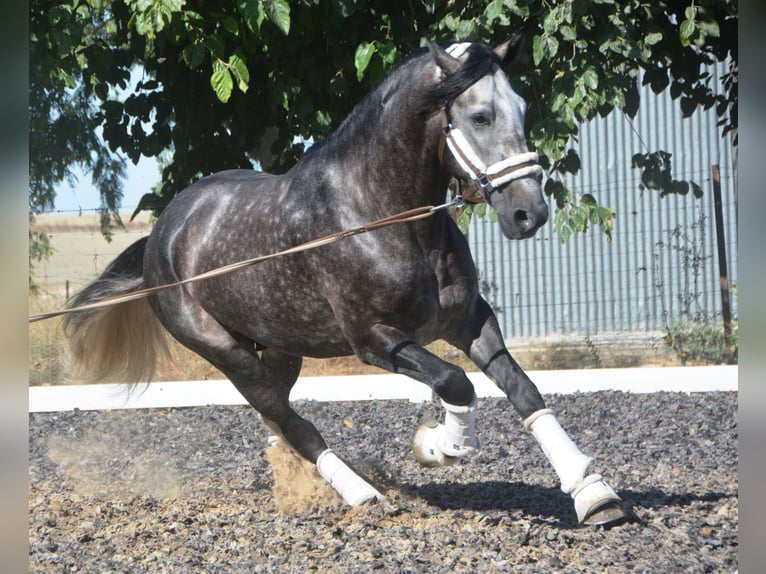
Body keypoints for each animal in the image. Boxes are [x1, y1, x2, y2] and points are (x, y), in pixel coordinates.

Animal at [66, 37, 628, 528]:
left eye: (523, 109)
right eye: (480, 116)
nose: (528, 213)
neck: (379, 213)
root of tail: (163, 232)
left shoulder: (468, 319)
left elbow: (523, 389)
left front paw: (594, 496)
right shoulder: (373, 340)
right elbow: (455, 381)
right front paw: (439, 446)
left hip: (281, 347)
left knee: (276, 416)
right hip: (223, 350)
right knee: (288, 418)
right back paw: (363, 495)